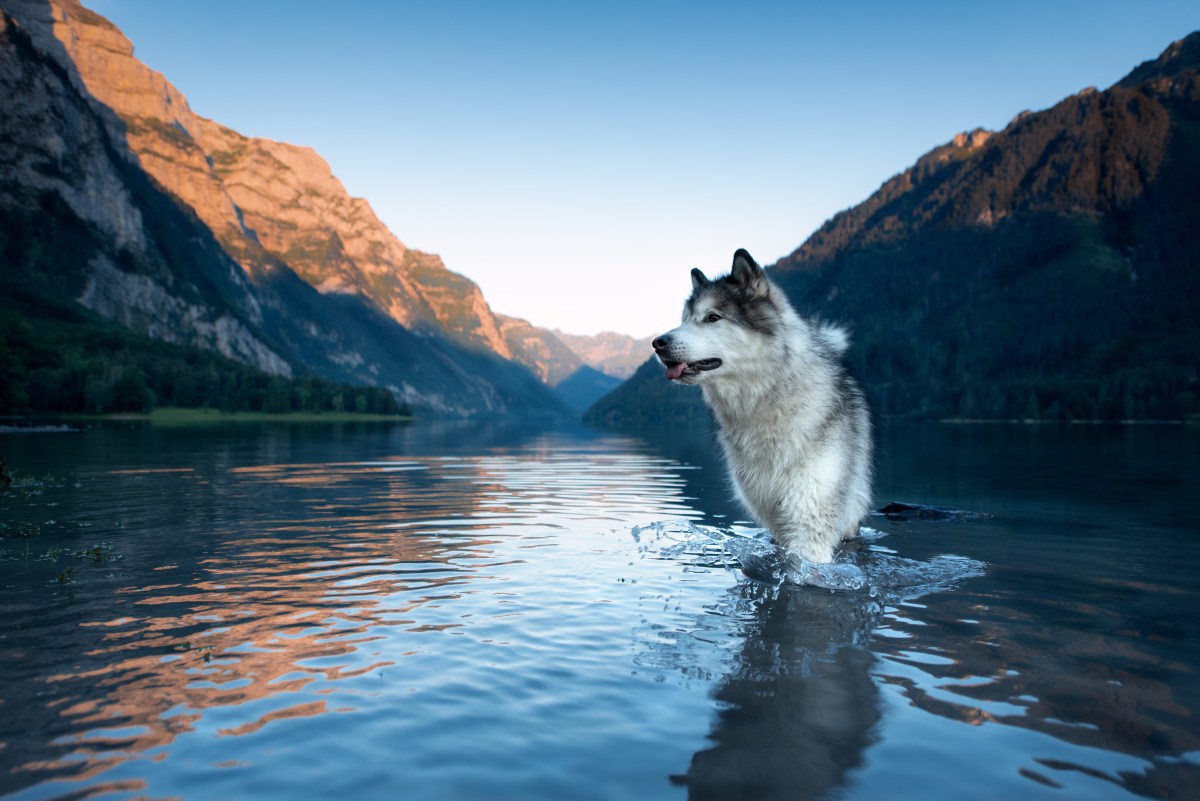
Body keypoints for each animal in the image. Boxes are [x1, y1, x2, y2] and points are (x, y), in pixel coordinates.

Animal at [657, 248, 873, 563]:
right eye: (685, 320)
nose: (658, 342)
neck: (767, 398)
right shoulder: (772, 516)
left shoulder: (809, 517)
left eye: (713, 317)